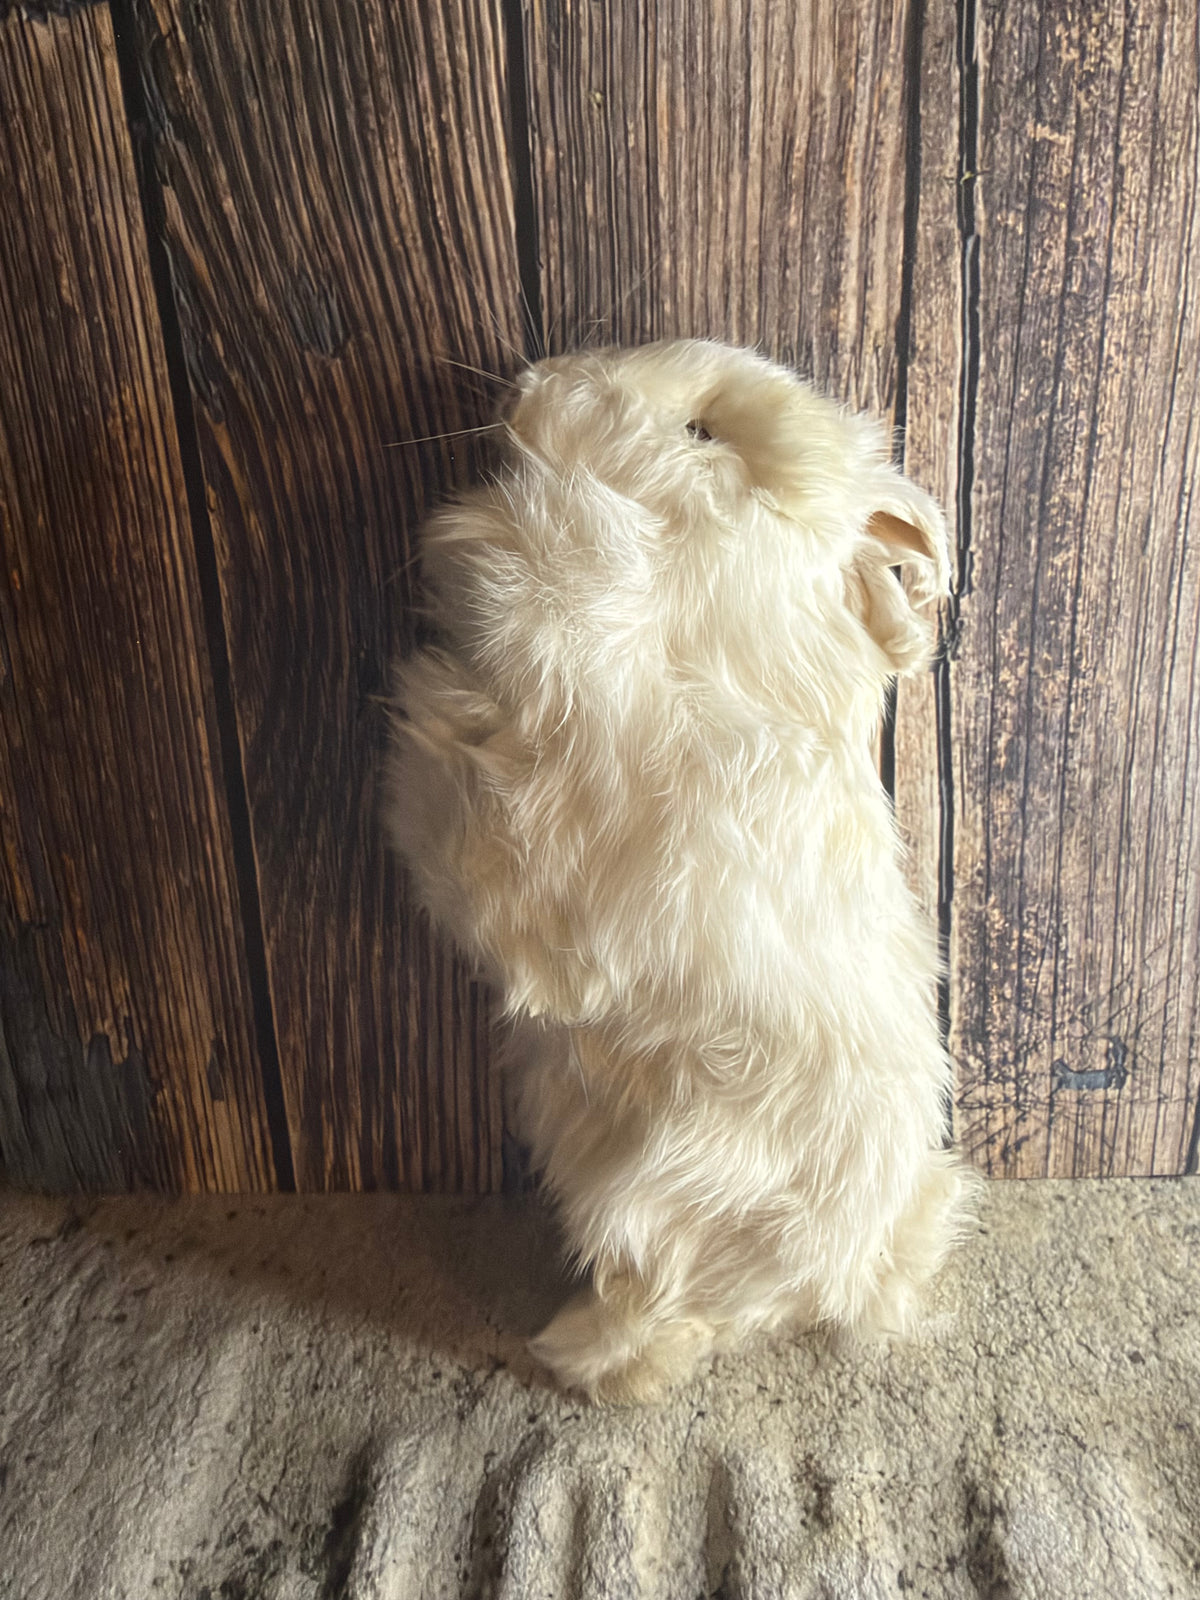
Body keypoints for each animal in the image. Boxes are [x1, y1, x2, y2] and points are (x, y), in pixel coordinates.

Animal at [388, 338, 974, 1403]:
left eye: (703, 430)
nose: (532, 382)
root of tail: (856, 1270)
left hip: (667, 1210)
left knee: (675, 1314)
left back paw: (584, 1361)